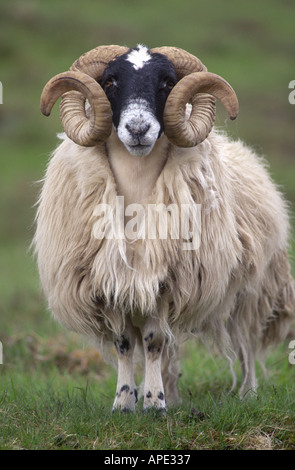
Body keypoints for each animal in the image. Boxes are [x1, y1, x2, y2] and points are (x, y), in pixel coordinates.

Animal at [33, 44, 295, 412]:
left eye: (168, 82)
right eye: (110, 81)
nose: (138, 128)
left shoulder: (169, 283)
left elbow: (155, 341)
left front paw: (155, 404)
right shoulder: (110, 282)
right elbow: (125, 343)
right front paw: (125, 402)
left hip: (251, 293)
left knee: (246, 345)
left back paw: (247, 394)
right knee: (168, 352)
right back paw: (168, 391)